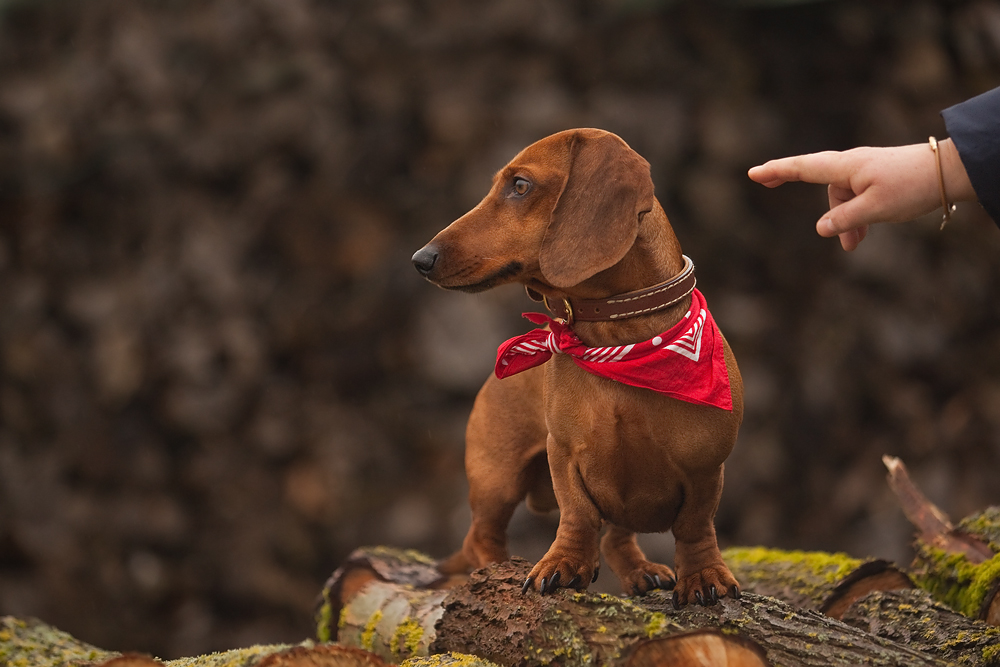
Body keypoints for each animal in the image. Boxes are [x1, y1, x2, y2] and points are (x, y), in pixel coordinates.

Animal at [410, 126, 748, 604]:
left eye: (520, 185)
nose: (420, 259)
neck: (618, 341)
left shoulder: (705, 465)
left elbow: (695, 526)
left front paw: (703, 574)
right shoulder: (565, 454)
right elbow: (578, 515)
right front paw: (563, 563)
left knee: (618, 536)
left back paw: (640, 570)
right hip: (497, 476)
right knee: (481, 538)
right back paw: (498, 569)